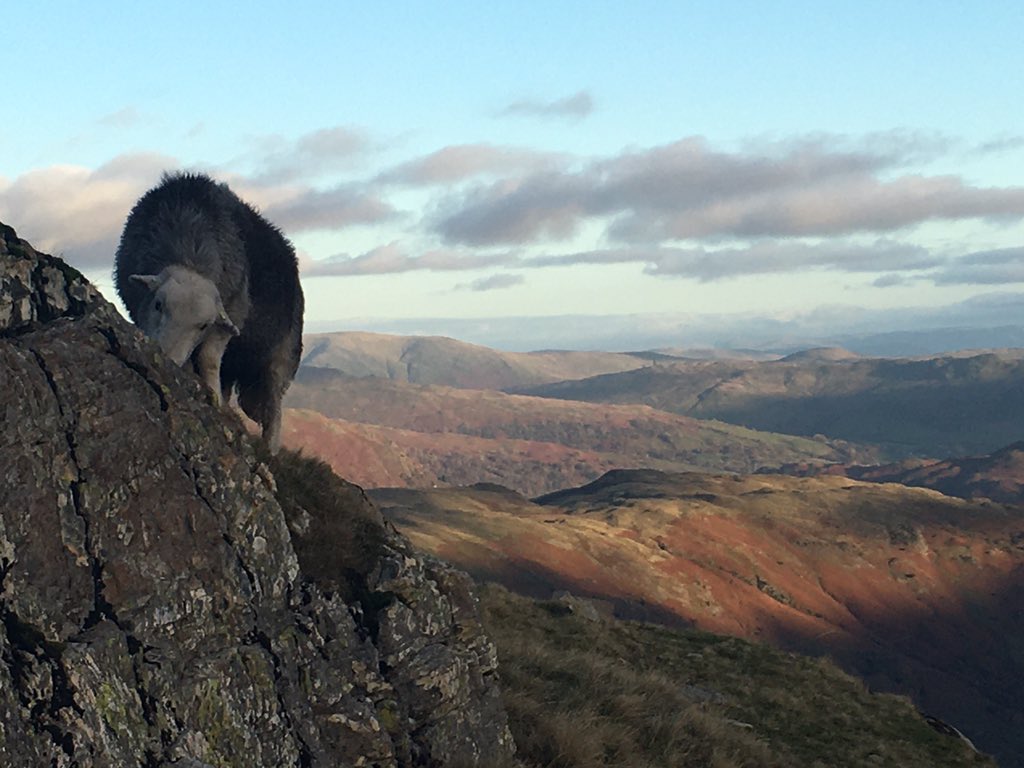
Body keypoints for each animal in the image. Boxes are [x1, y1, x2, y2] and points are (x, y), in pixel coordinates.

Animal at [114, 172, 304, 453]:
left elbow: (209, 359)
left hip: (282, 354)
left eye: (204, 325)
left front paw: (212, 398)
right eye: (159, 305)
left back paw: (269, 448)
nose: (166, 359)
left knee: (274, 410)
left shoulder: (231, 316)